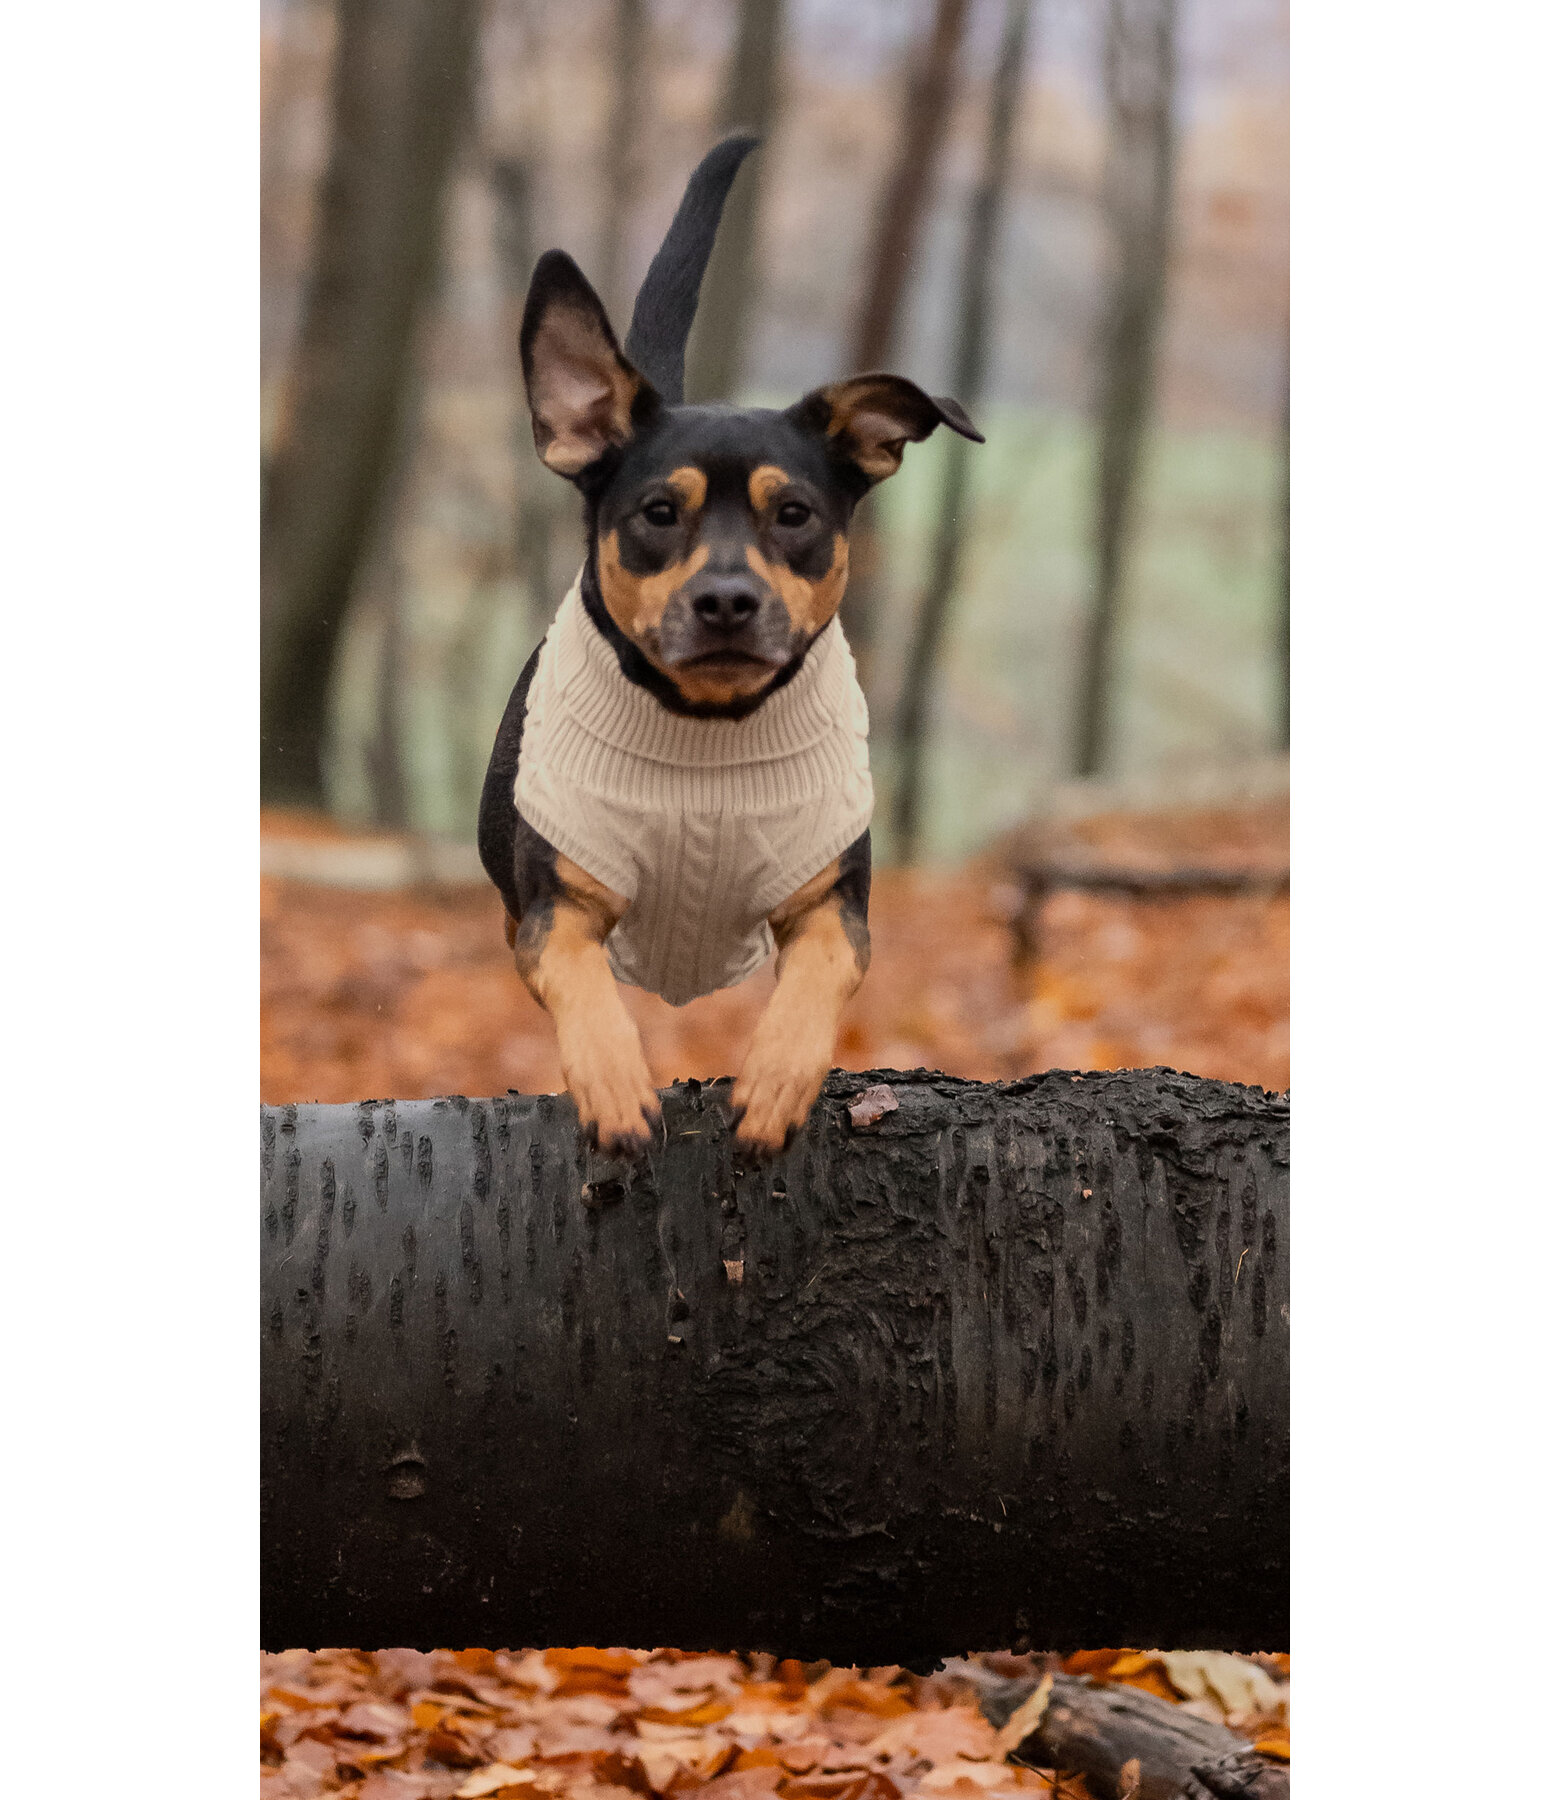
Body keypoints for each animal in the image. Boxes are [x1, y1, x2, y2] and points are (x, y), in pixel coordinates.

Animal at [478, 133, 979, 1159]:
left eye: (793, 515)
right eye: (657, 513)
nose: (726, 601)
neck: (706, 731)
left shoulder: (835, 899)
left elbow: (824, 970)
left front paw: (780, 1077)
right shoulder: (554, 908)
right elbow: (576, 973)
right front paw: (612, 1080)